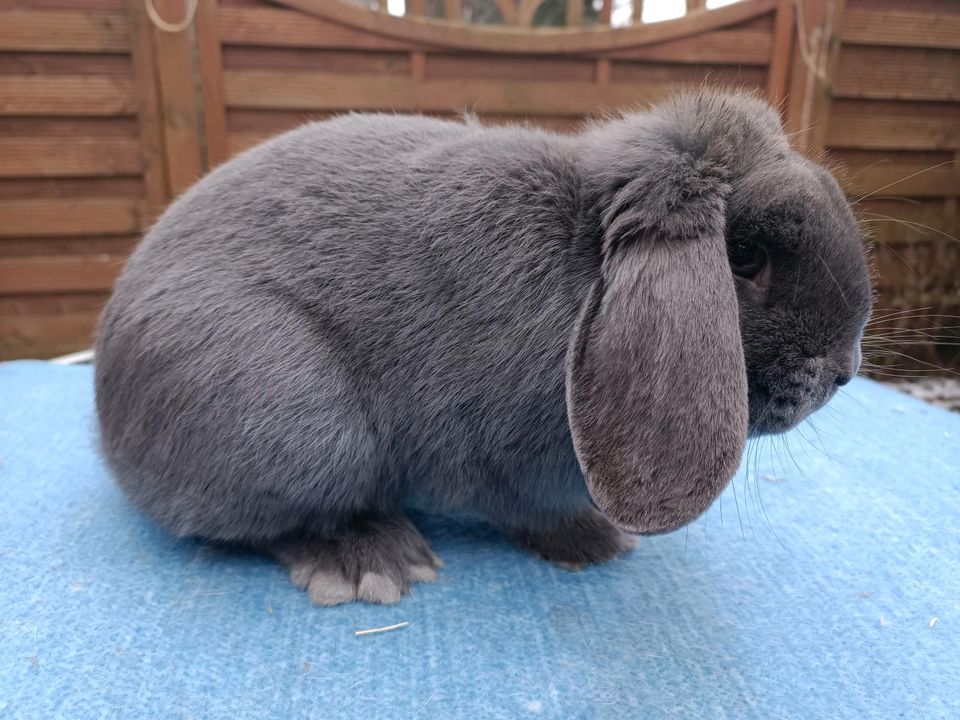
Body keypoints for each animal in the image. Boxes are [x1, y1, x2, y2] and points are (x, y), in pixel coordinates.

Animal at [95, 91, 872, 608]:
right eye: (744, 259)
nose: (843, 372)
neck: (585, 261)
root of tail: (108, 413)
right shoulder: (499, 459)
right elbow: (528, 508)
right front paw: (596, 544)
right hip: (296, 415)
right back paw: (372, 562)